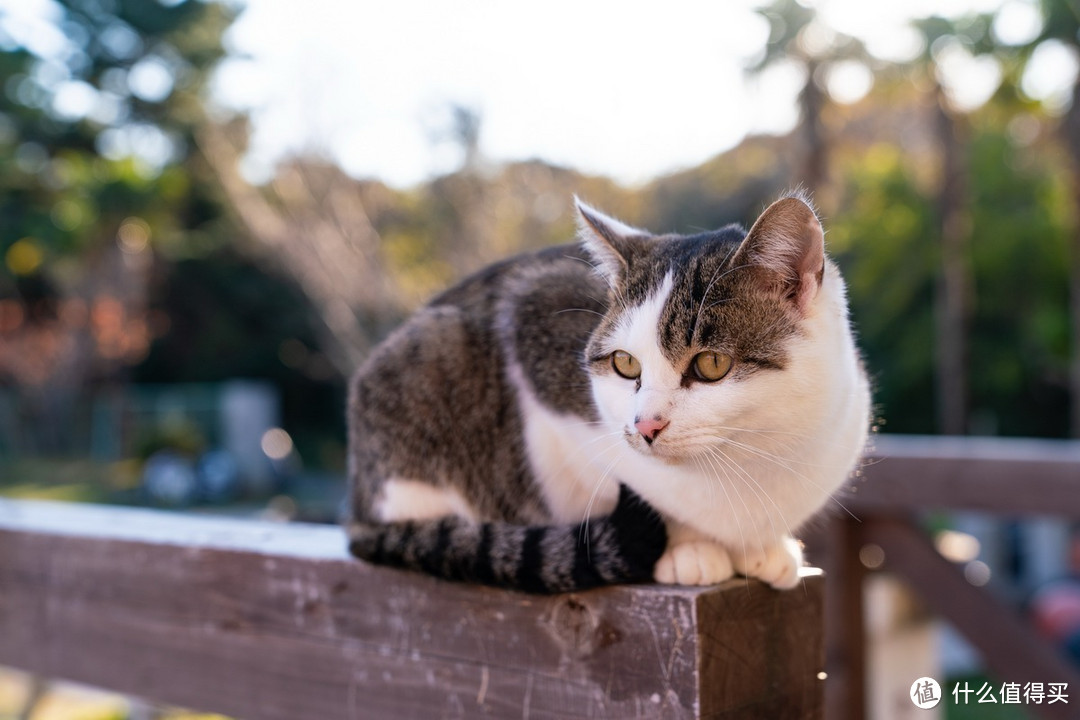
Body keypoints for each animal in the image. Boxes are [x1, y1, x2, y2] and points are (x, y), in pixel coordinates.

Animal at [345, 194, 868, 595]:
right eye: (625, 364)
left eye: (711, 365)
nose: (645, 425)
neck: (756, 452)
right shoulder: (534, 322)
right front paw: (690, 548)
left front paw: (764, 546)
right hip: (429, 365)